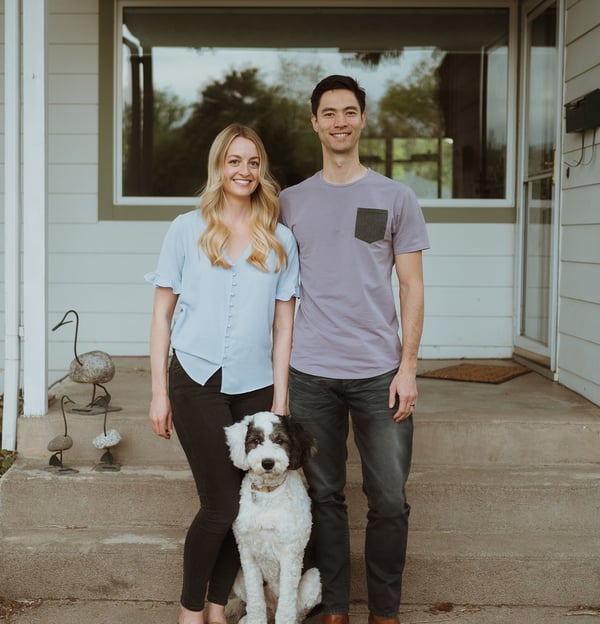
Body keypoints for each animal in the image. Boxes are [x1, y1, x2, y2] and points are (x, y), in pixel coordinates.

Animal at [224, 412, 318, 624]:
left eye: (280, 440)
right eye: (256, 441)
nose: (267, 463)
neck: (268, 495)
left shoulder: (291, 554)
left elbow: (286, 609)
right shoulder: (247, 552)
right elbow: (256, 602)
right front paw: (253, 620)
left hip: (313, 580)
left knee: (294, 611)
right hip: (238, 577)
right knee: (261, 608)